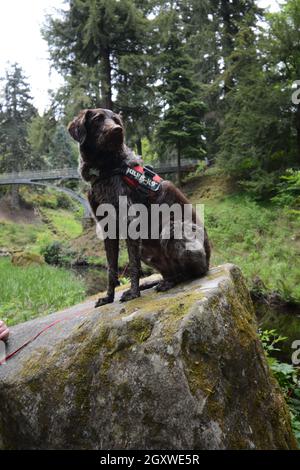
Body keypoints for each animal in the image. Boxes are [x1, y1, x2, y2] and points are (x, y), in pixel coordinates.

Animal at [67, 109, 211, 308]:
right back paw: (158, 281)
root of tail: (209, 260)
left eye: (116, 120)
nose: (118, 130)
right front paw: (108, 297)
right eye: (98, 119)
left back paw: (169, 282)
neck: (106, 168)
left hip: (173, 230)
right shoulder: (106, 227)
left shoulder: (130, 222)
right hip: (146, 248)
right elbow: (111, 268)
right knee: (169, 272)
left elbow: (133, 266)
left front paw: (134, 293)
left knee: (191, 273)